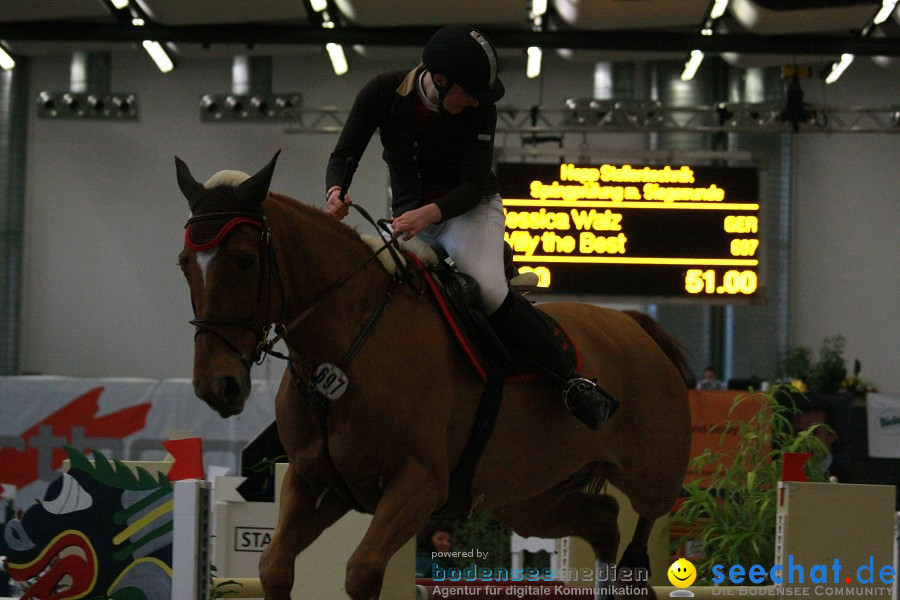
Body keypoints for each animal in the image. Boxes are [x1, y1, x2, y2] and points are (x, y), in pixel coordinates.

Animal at [176, 154, 692, 600]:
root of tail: (635, 324)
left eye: (245, 260)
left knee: (646, 521)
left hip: (650, 471)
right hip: (531, 497)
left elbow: (362, 572)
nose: (217, 386)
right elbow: (274, 567)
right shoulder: (314, 482)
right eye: (184, 265)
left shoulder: (417, 486)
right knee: (603, 519)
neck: (345, 349)